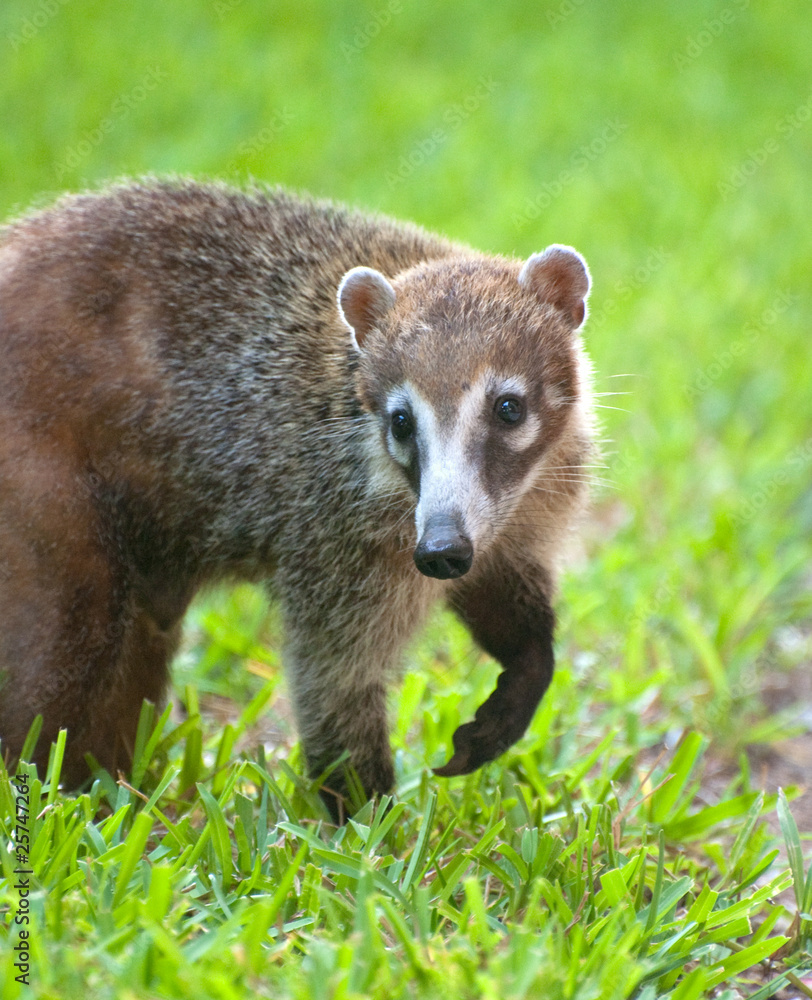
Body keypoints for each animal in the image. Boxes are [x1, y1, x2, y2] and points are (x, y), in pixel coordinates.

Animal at [0, 180, 595, 820]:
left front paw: (520, 680)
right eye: (402, 421)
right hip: (43, 479)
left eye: (508, 408)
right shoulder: (332, 526)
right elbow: (333, 676)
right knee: (66, 645)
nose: (440, 550)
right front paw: (368, 818)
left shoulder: (528, 507)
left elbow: (506, 598)